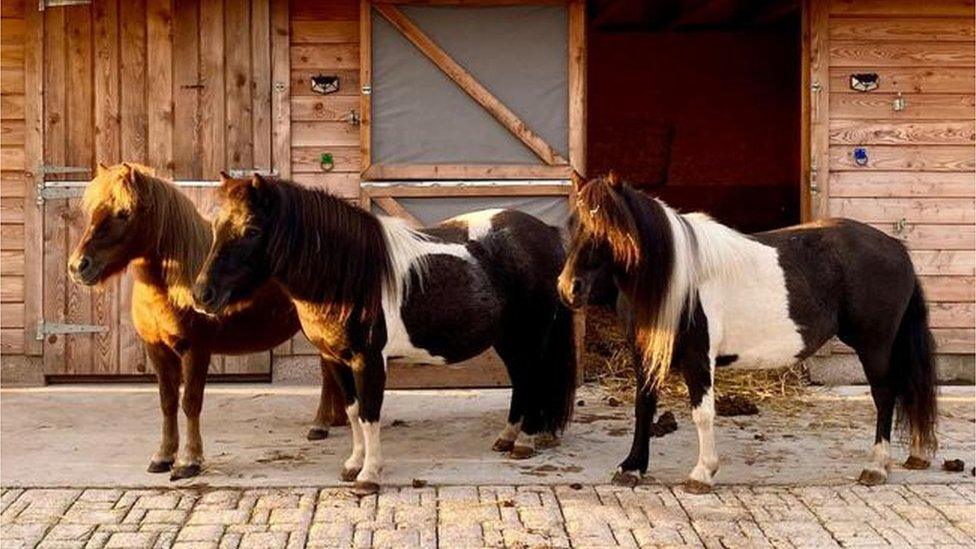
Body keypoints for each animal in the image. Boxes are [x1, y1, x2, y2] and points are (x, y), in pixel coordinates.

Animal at [68, 164, 344, 480]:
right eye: (94, 210)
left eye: (124, 212)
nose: (78, 266)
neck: (174, 286)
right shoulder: (157, 350)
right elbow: (167, 401)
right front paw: (163, 456)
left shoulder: (195, 350)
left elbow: (190, 403)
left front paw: (189, 461)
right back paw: (334, 420)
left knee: (327, 371)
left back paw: (320, 424)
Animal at [193, 174, 576, 492]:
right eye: (216, 225)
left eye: (252, 230)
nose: (202, 295)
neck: (351, 277)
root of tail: (546, 232)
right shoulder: (336, 359)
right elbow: (351, 411)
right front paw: (352, 465)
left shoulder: (369, 359)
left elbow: (369, 413)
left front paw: (369, 476)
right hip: (508, 338)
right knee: (523, 379)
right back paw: (506, 437)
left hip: (532, 334)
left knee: (535, 378)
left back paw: (524, 443)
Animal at [556, 173, 936, 490]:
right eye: (574, 224)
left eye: (610, 230)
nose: (569, 289)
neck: (677, 280)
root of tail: (896, 248)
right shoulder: (646, 353)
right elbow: (643, 406)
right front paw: (632, 467)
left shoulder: (698, 356)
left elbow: (703, 413)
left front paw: (702, 473)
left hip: (875, 346)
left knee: (885, 395)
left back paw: (876, 466)